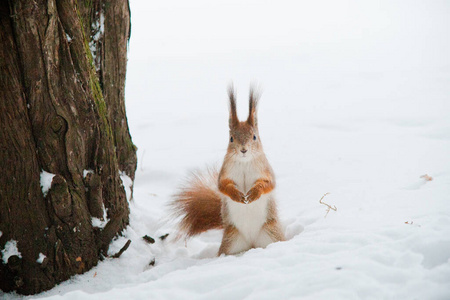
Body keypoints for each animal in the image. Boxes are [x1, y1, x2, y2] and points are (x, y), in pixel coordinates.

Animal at [170, 85, 284, 254]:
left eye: (254, 137)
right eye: (231, 139)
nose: (243, 150)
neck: (244, 162)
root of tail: (251, 244)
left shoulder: (266, 170)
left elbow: (268, 184)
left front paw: (254, 193)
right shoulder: (225, 173)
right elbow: (222, 186)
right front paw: (236, 195)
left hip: (271, 233)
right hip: (231, 241)